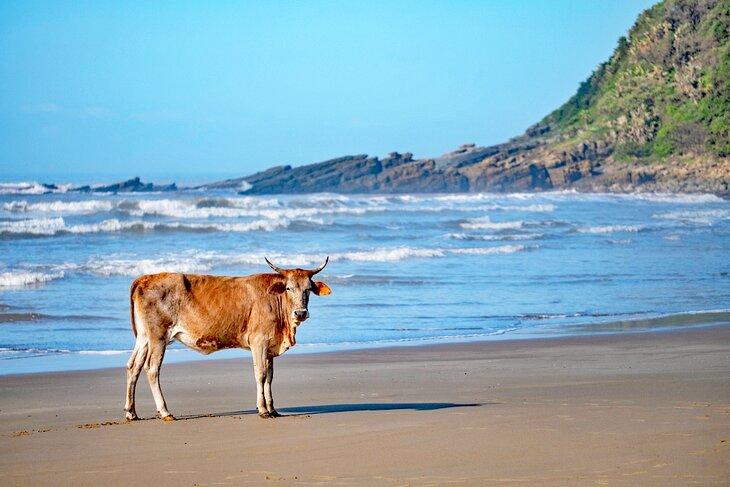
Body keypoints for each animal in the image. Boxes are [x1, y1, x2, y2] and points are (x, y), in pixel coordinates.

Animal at [123, 257, 331, 421]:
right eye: (288, 288)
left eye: (308, 289)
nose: (300, 313)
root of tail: (146, 278)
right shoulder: (259, 342)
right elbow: (261, 374)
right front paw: (263, 410)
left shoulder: (270, 345)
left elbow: (270, 377)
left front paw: (272, 409)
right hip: (158, 336)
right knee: (151, 369)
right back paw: (165, 412)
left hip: (144, 337)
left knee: (134, 366)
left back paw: (131, 412)